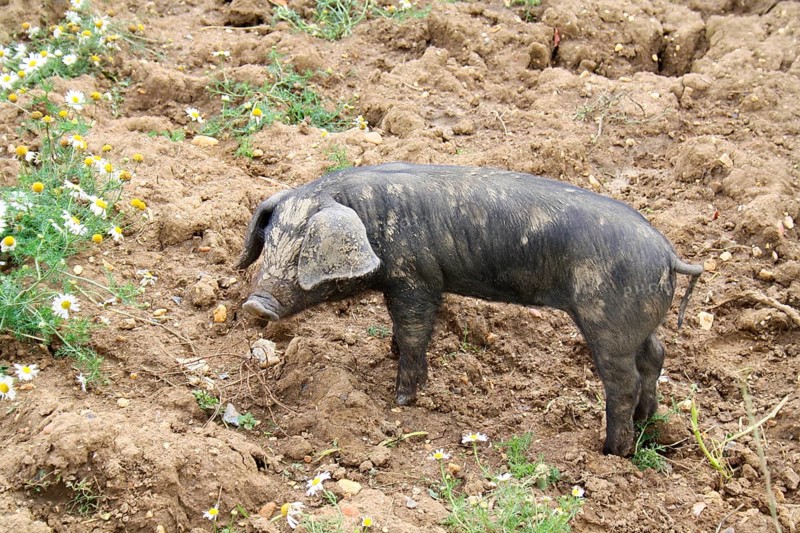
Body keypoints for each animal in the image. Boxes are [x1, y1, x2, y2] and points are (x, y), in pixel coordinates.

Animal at [236, 162, 703, 456]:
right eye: (269, 244)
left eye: (305, 253)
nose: (256, 305)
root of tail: (668, 255)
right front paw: (389, 356)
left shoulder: (416, 278)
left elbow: (414, 329)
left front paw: (400, 399)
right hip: (640, 322)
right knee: (655, 356)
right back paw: (647, 422)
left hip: (608, 320)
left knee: (622, 381)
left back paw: (613, 452)